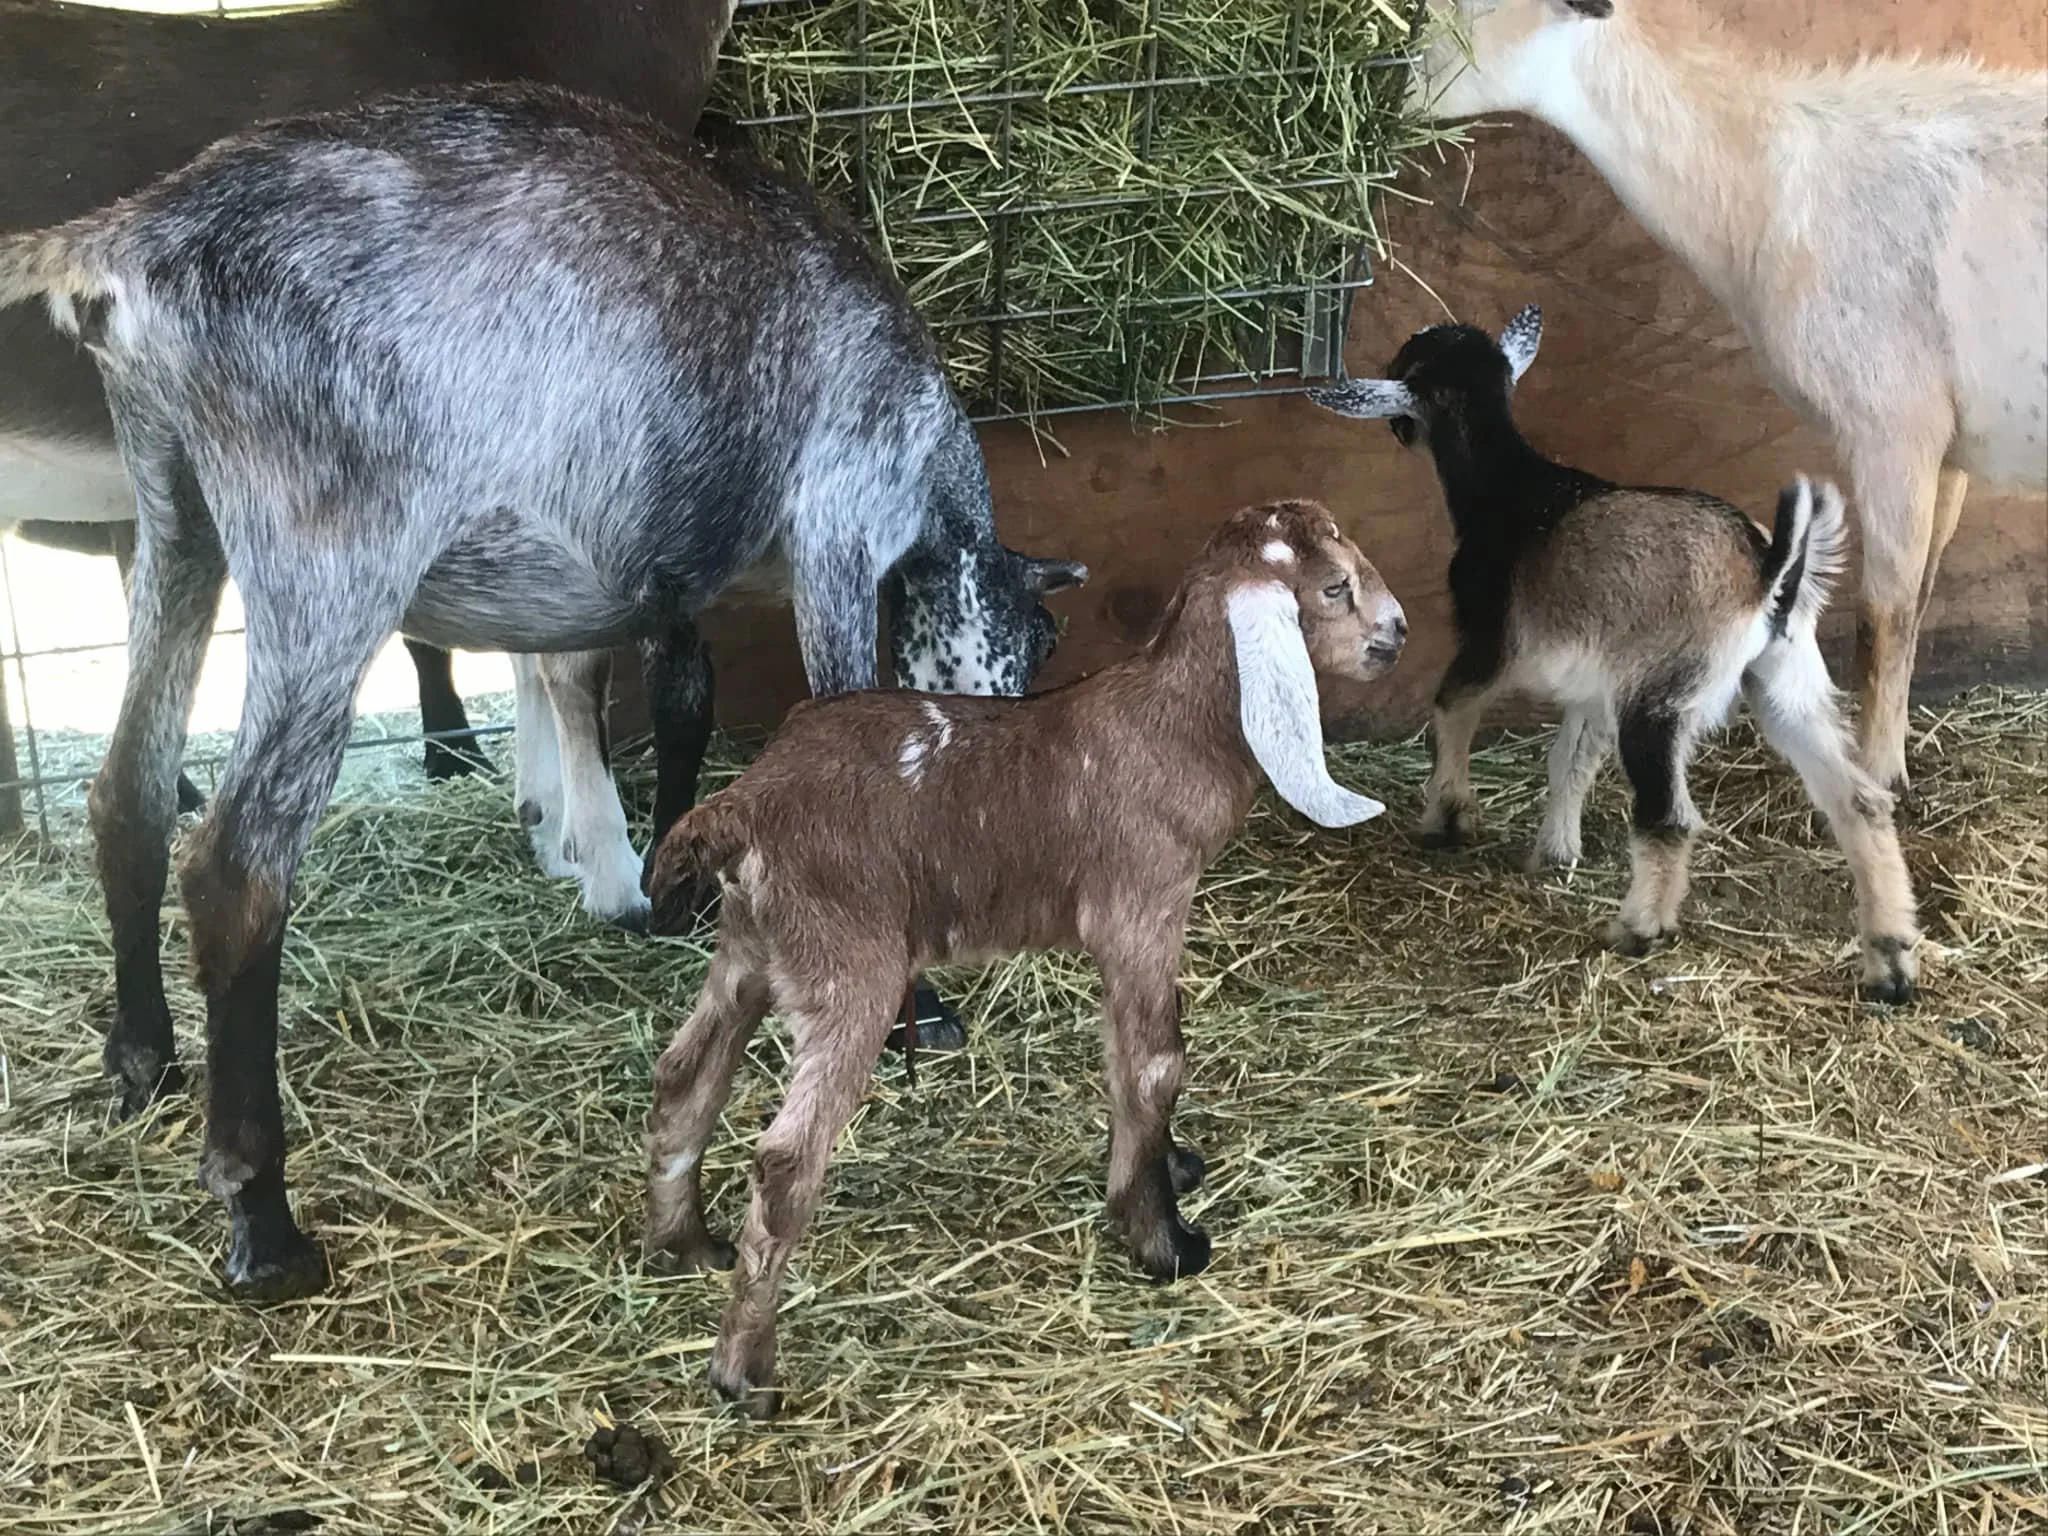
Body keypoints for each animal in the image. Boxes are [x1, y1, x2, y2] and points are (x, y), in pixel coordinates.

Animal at [640, 498, 1405, 1417]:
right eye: (1333, 588)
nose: (1398, 634)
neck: (1171, 726)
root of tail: (744, 804)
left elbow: (1126, 1057)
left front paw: (1165, 1171)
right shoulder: (1141, 908)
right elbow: (1155, 1064)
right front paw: (1162, 1240)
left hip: (752, 945)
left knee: (686, 1077)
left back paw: (682, 1244)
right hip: (848, 964)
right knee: (787, 1159)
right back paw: (744, 1371)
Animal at [1312, 306, 1921, 1001]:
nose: (1397, 429)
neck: (1512, 491)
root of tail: (1769, 571)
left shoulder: (1490, 637)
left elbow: (1451, 708)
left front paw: (1447, 819)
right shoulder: (1597, 685)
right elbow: (1570, 758)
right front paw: (1555, 852)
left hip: (1662, 697)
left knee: (1668, 817)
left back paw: (1639, 928)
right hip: (1785, 682)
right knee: (1860, 802)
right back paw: (1890, 962)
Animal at [1409, 0, 2048, 799]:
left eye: (1471, 10)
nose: (1388, 83)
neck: (1766, 182)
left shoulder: (1892, 427)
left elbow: (1883, 620)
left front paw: (1876, 779)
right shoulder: (1949, 448)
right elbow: (1921, 599)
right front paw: (1896, 762)